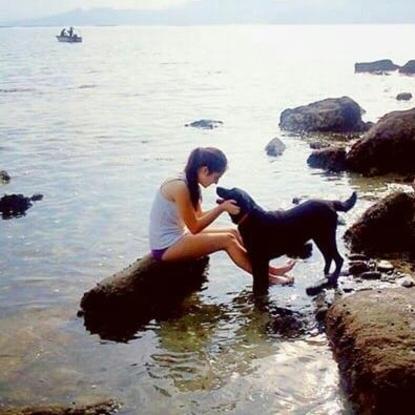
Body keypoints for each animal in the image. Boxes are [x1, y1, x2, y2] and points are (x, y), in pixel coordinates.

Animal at [218, 187, 358, 298]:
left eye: (230, 190)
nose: (218, 187)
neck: (248, 216)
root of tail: (330, 202)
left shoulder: (259, 260)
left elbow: (260, 281)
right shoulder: (258, 260)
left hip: (326, 237)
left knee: (338, 259)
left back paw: (333, 278)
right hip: (320, 239)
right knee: (329, 257)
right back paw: (325, 275)